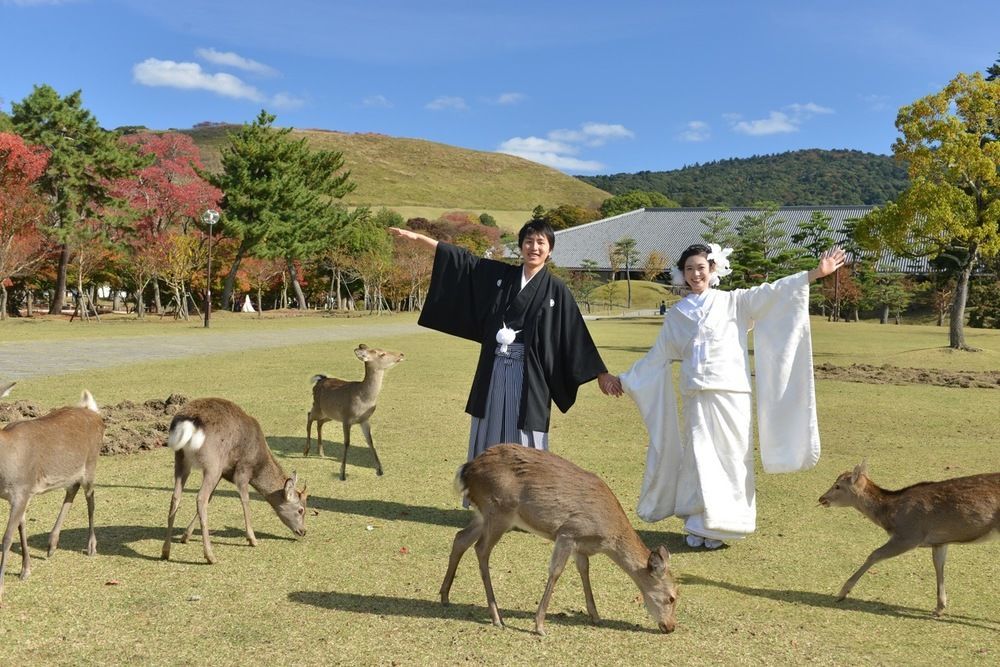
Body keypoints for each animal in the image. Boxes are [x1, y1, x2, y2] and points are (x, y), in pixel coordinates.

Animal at [0, 380, 104, 604]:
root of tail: (93, 411)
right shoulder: (21, 494)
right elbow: (22, 528)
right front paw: (26, 570)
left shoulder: (21, 490)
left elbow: (7, 538)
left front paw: (2, 586)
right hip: (72, 472)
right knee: (72, 489)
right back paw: (51, 545)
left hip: (91, 464)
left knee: (91, 498)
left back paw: (91, 546)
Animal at [160, 400, 306, 568]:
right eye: (301, 510)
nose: (303, 531)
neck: (258, 464)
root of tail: (188, 422)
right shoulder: (242, 471)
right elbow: (245, 500)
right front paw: (252, 539)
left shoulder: (223, 473)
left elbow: (212, 498)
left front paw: (185, 536)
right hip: (212, 464)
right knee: (201, 498)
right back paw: (210, 556)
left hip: (182, 460)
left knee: (176, 497)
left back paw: (165, 551)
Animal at [302, 344, 404, 480]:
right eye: (382, 354)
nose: (401, 354)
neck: (364, 400)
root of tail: (319, 380)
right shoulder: (346, 418)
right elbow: (347, 443)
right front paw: (342, 474)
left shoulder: (364, 420)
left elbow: (370, 441)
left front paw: (380, 470)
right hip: (318, 407)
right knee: (309, 416)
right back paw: (306, 451)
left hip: (330, 414)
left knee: (319, 423)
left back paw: (321, 453)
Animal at [440, 444, 680, 636]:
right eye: (672, 597)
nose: (670, 627)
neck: (607, 536)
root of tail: (467, 470)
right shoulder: (568, 532)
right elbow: (556, 571)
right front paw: (539, 625)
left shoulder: (581, 545)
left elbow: (584, 570)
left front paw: (595, 615)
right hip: (499, 511)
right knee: (481, 549)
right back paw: (497, 616)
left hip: (483, 515)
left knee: (460, 538)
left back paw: (445, 596)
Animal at [820, 462, 1000, 620]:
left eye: (837, 486)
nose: (821, 498)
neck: (890, 515)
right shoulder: (939, 541)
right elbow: (938, 565)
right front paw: (939, 608)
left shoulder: (909, 535)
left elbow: (874, 554)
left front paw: (842, 592)